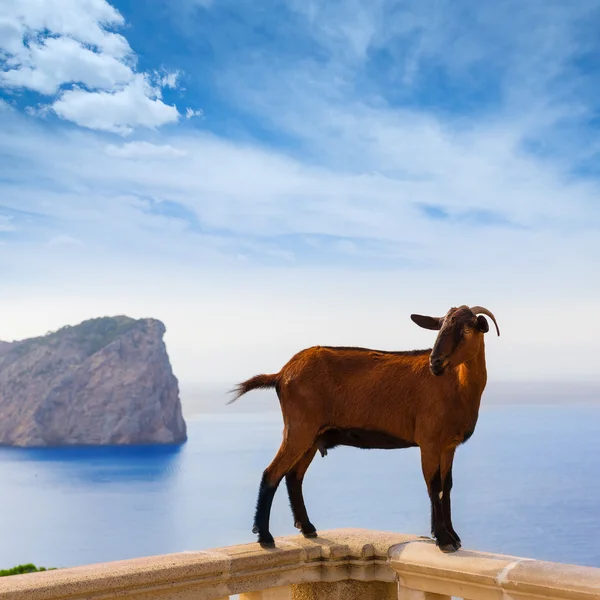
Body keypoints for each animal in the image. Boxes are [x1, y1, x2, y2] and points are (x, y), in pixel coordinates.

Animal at [230, 304, 502, 552]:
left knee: (294, 476)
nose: (435, 363)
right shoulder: (429, 442)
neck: (456, 386)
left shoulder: (448, 446)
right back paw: (265, 536)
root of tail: (281, 374)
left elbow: (447, 485)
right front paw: (444, 540)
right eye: (440, 328)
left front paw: (452, 536)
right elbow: (434, 485)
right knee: (271, 473)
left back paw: (306, 527)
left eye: (467, 329)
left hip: (312, 435)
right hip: (299, 428)